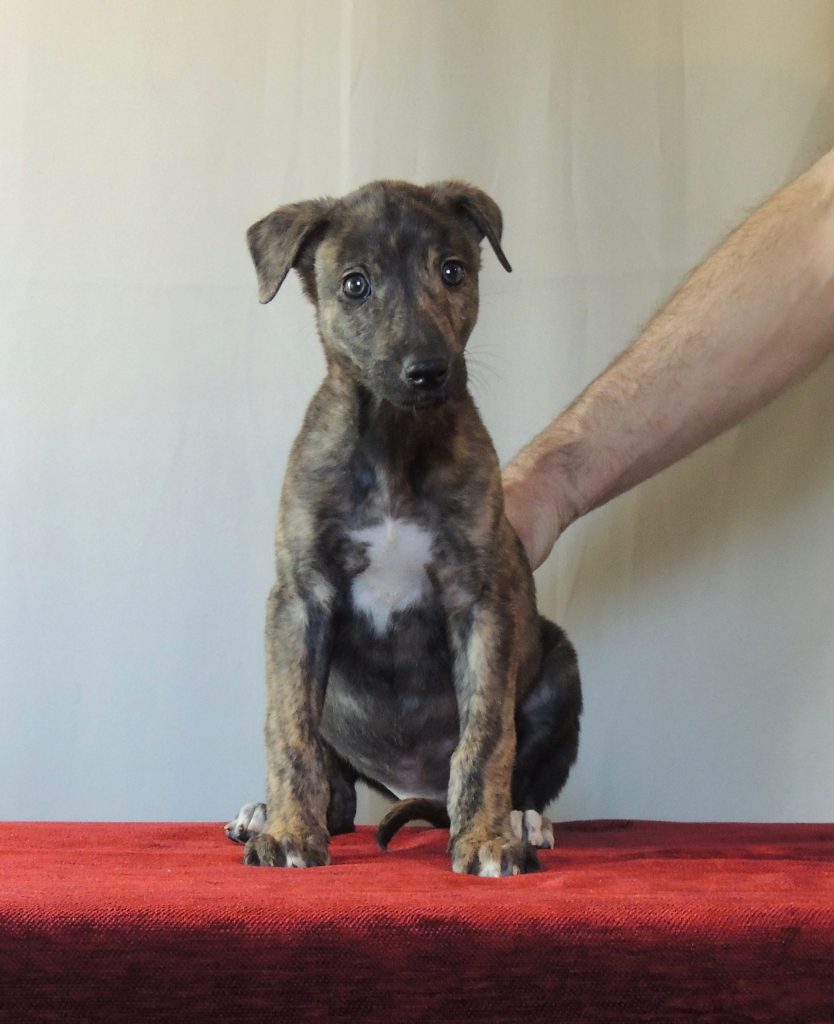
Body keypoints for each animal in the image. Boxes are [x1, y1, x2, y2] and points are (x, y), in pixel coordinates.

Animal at [225, 180, 586, 876]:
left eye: (453, 271)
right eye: (355, 284)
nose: (428, 370)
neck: (394, 444)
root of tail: (414, 790)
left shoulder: (481, 602)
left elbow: (487, 736)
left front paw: (485, 838)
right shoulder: (300, 601)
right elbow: (289, 730)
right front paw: (288, 831)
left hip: (559, 666)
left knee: (522, 770)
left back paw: (522, 818)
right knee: (336, 792)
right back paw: (268, 812)